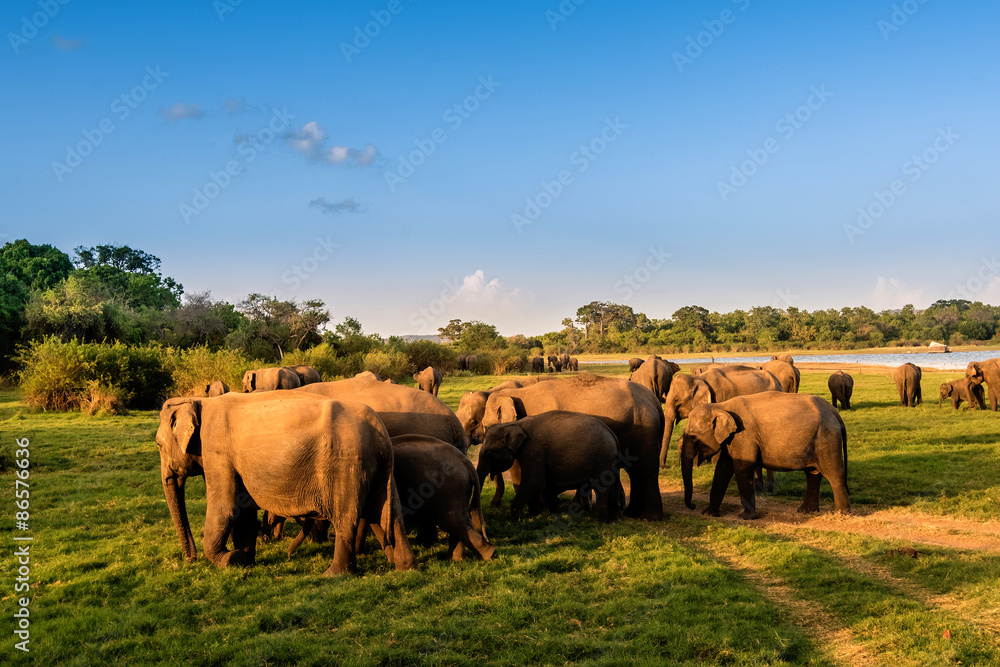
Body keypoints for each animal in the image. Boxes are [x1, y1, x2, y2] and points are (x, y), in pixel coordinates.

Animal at [154, 392, 415, 574]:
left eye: (158, 444)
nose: (190, 559)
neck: (198, 400)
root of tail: (380, 431)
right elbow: (243, 509)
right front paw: (245, 561)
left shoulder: (217, 454)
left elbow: (226, 507)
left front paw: (231, 560)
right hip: (376, 467)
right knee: (388, 513)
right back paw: (405, 567)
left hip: (347, 463)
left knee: (347, 517)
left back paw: (334, 574)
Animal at [478, 411, 621, 522]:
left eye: (488, 453)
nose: (493, 504)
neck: (515, 424)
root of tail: (613, 435)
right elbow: (539, 484)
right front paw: (541, 514)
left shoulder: (533, 449)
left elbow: (534, 482)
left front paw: (517, 517)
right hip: (608, 460)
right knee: (611, 486)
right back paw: (612, 519)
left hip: (603, 458)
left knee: (601, 488)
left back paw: (597, 521)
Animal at [681, 392, 850, 520]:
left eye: (694, 437)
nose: (693, 506)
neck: (721, 406)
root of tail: (836, 413)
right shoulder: (732, 439)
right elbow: (723, 469)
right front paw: (709, 514)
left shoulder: (744, 436)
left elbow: (742, 468)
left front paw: (746, 517)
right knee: (813, 474)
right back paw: (806, 511)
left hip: (827, 439)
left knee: (833, 474)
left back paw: (840, 514)